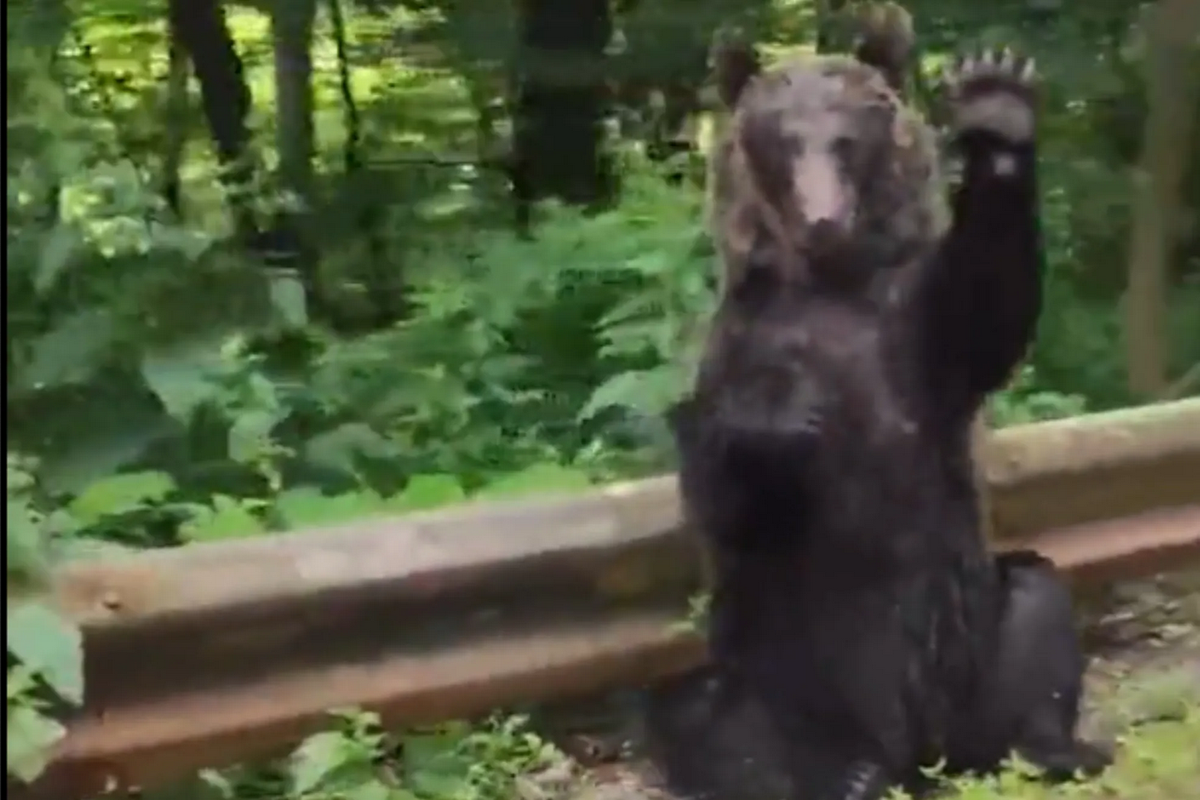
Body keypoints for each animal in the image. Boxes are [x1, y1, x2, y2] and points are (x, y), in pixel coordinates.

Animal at [640, 10, 1112, 800]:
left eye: (847, 137)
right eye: (781, 140)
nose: (823, 219)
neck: (833, 283)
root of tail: (914, 752)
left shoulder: (918, 335)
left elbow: (989, 308)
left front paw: (996, 106)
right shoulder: (739, 345)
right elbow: (724, 495)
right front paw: (777, 417)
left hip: (974, 646)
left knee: (1036, 606)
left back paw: (1055, 749)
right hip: (785, 675)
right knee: (708, 712)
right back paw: (836, 776)